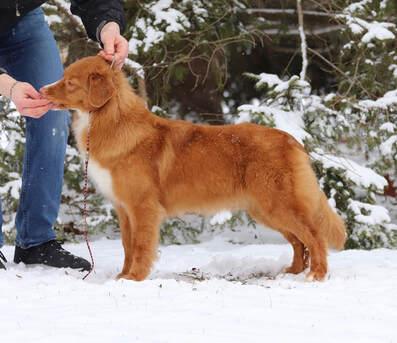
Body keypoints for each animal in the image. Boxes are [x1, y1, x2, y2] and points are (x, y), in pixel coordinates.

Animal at [41, 57, 346, 282]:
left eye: (70, 82)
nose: (42, 90)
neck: (111, 121)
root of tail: (292, 140)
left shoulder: (143, 207)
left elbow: (141, 246)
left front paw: (135, 278)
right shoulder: (124, 209)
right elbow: (127, 246)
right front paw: (122, 276)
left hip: (277, 205)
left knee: (314, 236)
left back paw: (316, 275)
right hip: (265, 209)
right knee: (298, 242)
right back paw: (293, 271)